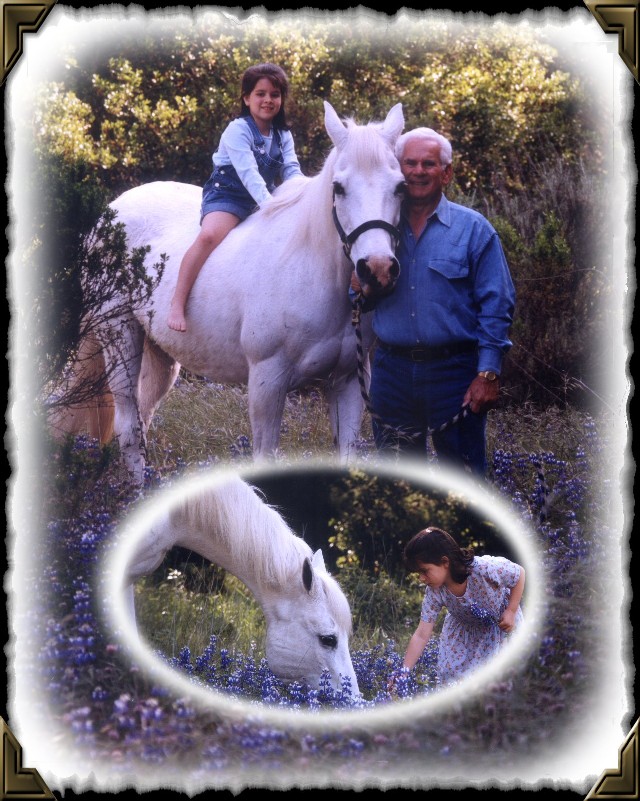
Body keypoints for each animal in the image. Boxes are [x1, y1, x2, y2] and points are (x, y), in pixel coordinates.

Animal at [53, 99, 404, 476]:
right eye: (338, 187)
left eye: (400, 187)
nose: (378, 269)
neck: (311, 268)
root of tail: (109, 215)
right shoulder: (267, 381)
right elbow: (264, 455)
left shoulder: (348, 382)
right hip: (118, 334)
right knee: (128, 427)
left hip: (159, 355)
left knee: (143, 418)